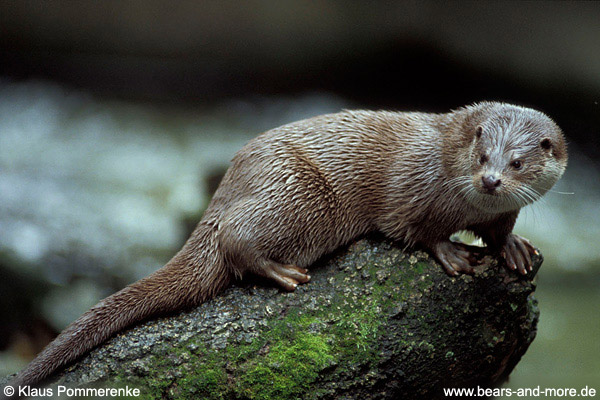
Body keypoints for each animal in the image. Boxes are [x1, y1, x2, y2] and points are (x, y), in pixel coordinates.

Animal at [5, 101, 568, 392]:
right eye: (483, 154)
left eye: (518, 163)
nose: (491, 180)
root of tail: (229, 183)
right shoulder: (413, 188)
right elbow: (414, 229)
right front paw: (452, 251)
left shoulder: (499, 211)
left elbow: (500, 231)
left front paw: (515, 248)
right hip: (296, 193)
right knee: (234, 241)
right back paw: (283, 272)